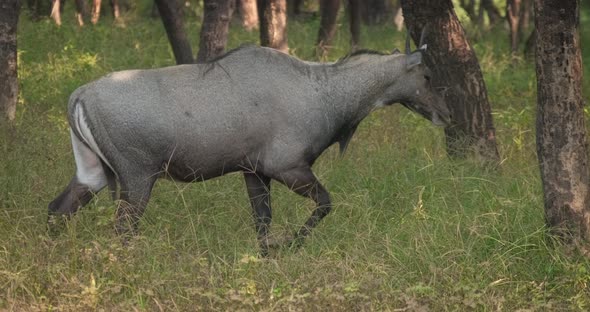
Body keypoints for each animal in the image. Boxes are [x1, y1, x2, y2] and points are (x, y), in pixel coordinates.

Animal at [51, 33, 450, 256]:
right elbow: (324, 203)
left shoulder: (254, 171)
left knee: (58, 209)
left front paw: (266, 257)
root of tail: (78, 96)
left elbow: (262, 221)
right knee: (122, 228)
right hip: (136, 178)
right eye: (427, 75)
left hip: (92, 172)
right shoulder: (287, 166)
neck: (324, 94)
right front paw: (290, 246)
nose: (446, 114)